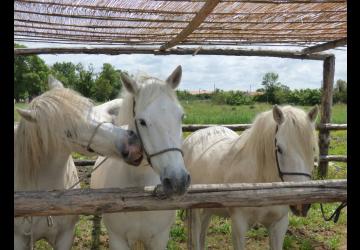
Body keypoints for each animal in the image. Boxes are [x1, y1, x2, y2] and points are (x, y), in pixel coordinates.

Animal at [14, 76, 143, 250]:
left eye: (90, 109)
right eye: (68, 133)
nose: (132, 146)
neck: (46, 198)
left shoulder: (66, 236)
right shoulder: (19, 240)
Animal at [184, 105, 320, 250]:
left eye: (312, 148)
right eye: (279, 149)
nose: (301, 205)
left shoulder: (279, 224)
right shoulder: (239, 225)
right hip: (194, 211)